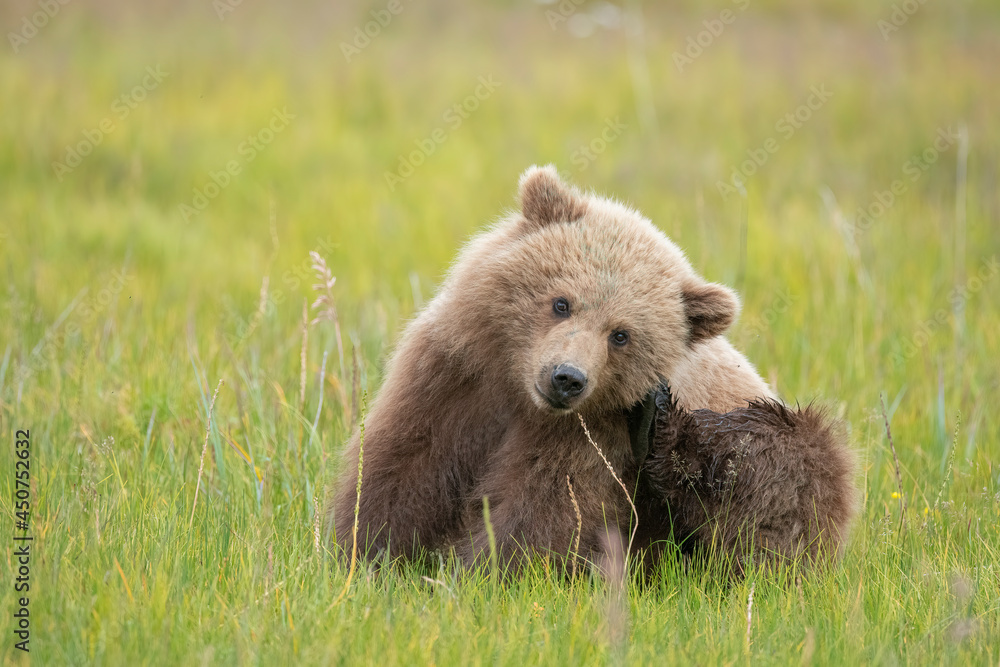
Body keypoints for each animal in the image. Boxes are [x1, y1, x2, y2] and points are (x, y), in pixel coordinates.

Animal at [329, 165, 776, 572]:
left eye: (621, 335)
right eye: (561, 302)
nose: (567, 378)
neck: (520, 394)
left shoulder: (595, 436)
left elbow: (543, 510)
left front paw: (471, 574)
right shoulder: (457, 380)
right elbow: (407, 463)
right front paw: (365, 552)